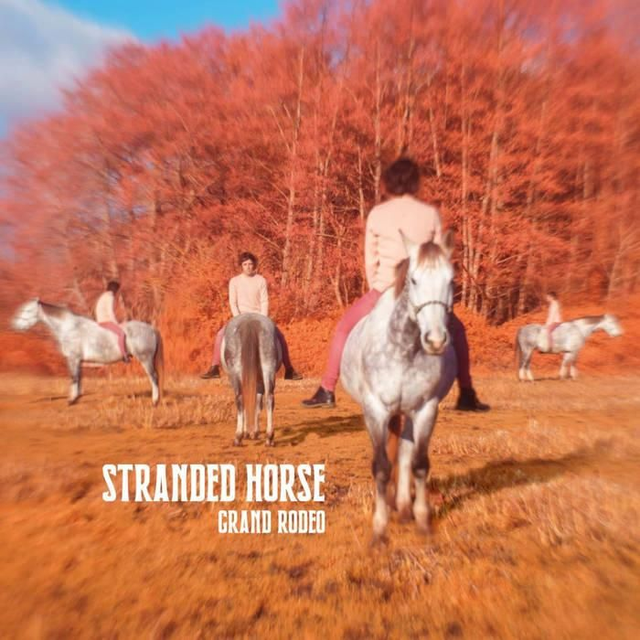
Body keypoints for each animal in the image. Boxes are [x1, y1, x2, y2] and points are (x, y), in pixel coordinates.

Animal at [11, 299, 164, 405]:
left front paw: (71, 400)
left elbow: (74, 377)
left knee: (154, 377)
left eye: (28, 311)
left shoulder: (73, 358)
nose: (15, 326)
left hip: (145, 359)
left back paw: (155, 401)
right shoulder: (78, 360)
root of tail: (151, 328)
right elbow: (79, 378)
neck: (69, 328)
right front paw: (77, 397)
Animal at [221, 313, 282, 447]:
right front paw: (254, 432)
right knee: (269, 399)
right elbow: (257, 405)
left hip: (235, 374)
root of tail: (250, 321)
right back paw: (269, 437)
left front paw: (247, 432)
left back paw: (238, 437)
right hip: (268, 368)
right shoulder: (259, 383)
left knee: (240, 399)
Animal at [341, 231, 457, 542]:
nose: (435, 340)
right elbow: (381, 467)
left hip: (408, 413)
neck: (403, 349)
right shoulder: (376, 411)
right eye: (413, 280)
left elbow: (419, 463)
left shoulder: (426, 410)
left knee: (404, 454)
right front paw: (380, 529)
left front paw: (423, 522)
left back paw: (403, 507)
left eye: (451, 280)